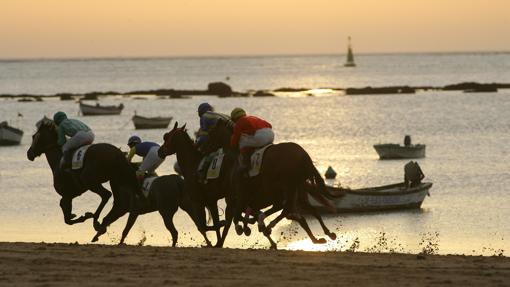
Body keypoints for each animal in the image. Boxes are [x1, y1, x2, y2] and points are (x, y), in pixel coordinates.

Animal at [200, 119, 338, 250]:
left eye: (211, 133)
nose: (201, 149)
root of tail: (304, 154)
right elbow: (241, 216)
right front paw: (251, 225)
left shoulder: (240, 196)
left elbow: (236, 217)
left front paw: (244, 228)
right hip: (294, 187)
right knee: (301, 210)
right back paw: (327, 233)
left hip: (289, 185)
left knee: (287, 209)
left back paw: (269, 225)